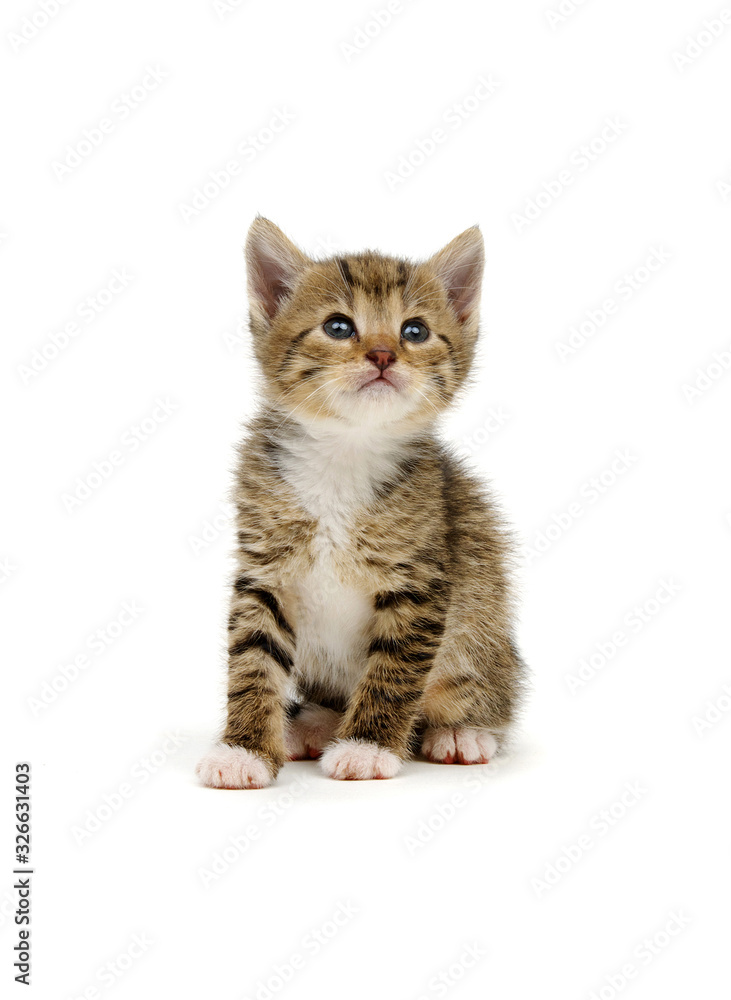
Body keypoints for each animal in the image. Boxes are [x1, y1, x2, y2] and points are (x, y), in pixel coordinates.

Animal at [196, 219, 528, 788]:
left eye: (414, 331)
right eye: (338, 327)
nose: (382, 354)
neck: (345, 451)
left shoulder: (420, 580)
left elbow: (394, 668)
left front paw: (367, 747)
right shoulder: (263, 571)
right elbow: (253, 660)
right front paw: (244, 749)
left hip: (483, 625)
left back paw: (462, 731)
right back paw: (314, 722)